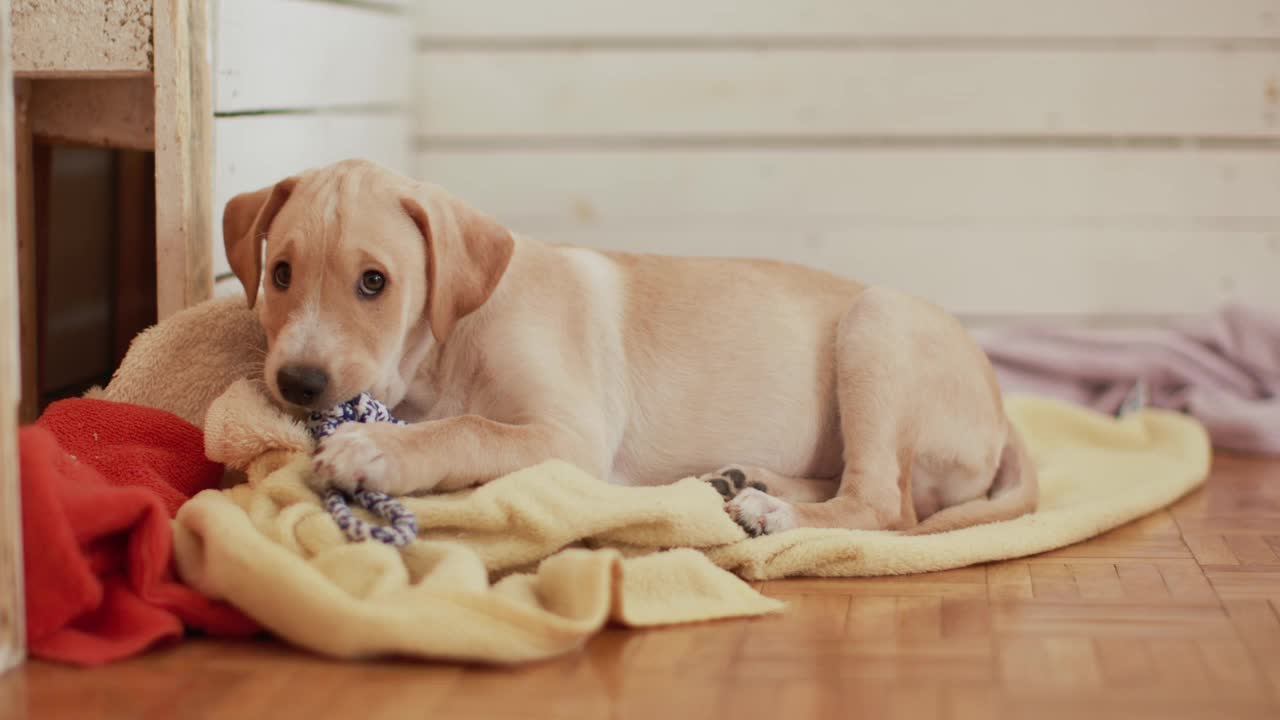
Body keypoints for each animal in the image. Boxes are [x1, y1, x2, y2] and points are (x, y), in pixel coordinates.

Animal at [222, 161, 1039, 532]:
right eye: (281, 274)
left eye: (374, 282)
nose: (298, 383)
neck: (450, 343)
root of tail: (1002, 412)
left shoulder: (569, 436)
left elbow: (469, 428)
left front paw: (376, 449)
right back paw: (747, 481)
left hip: (877, 322)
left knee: (885, 504)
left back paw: (774, 515)